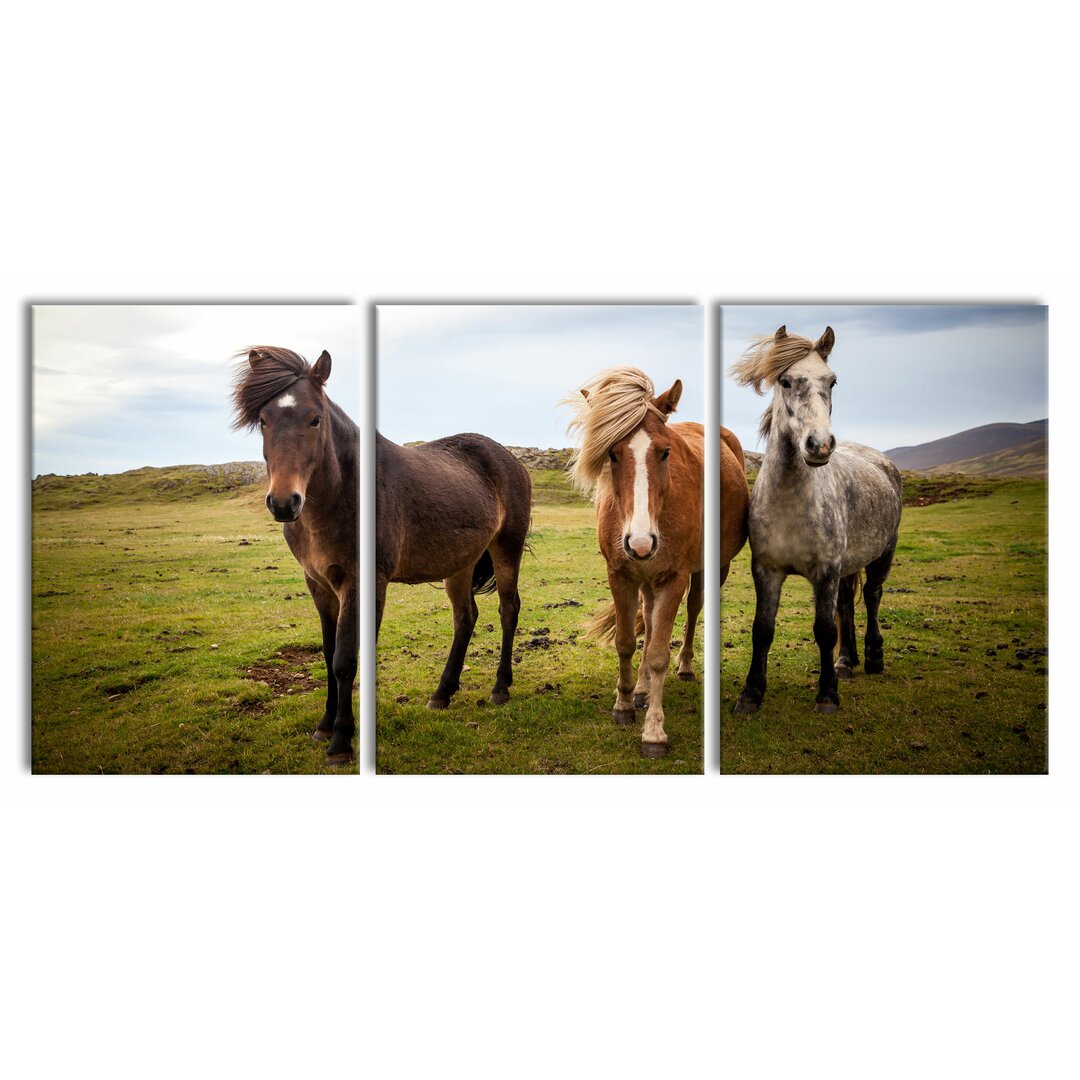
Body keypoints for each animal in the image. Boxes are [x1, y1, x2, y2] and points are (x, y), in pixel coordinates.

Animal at [231, 343, 358, 760]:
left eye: (315, 419)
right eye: (263, 421)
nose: (284, 503)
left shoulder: (354, 583)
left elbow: (344, 659)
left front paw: (341, 739)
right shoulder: (317, 584)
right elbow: (328, 652)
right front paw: (325, 725)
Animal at [378, 434, 533, 712]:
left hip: (507, 547)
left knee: (508, 609)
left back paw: (500, 686)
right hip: (461, 563)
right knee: (465, 616)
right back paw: (443, 691)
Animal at [565, 367, 708, 756]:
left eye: (665, 452)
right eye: (612, 454)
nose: (641, 543)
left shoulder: (674, 578)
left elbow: (658, 653)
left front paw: (654, 732)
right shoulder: (620, 574)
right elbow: (627, 642)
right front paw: (624, 704)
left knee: (692, 611)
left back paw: (684, 668)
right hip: (645, 579)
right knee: (648, 615)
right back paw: (642, 690)